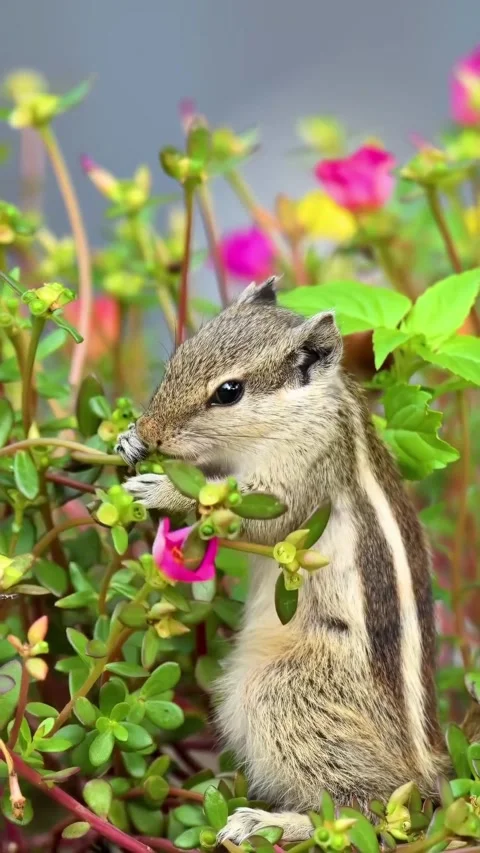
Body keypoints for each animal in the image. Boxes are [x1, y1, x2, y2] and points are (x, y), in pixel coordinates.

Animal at [116, 276, 450, 843]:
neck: (305, 409)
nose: (154, 431)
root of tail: (423, 770)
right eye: (177, 356)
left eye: (229, 392)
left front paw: (162, 490)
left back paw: (268, 822)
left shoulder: (293, 478)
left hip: (284, 697)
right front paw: (131, 441)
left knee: (365, 811)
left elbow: (243, 514)